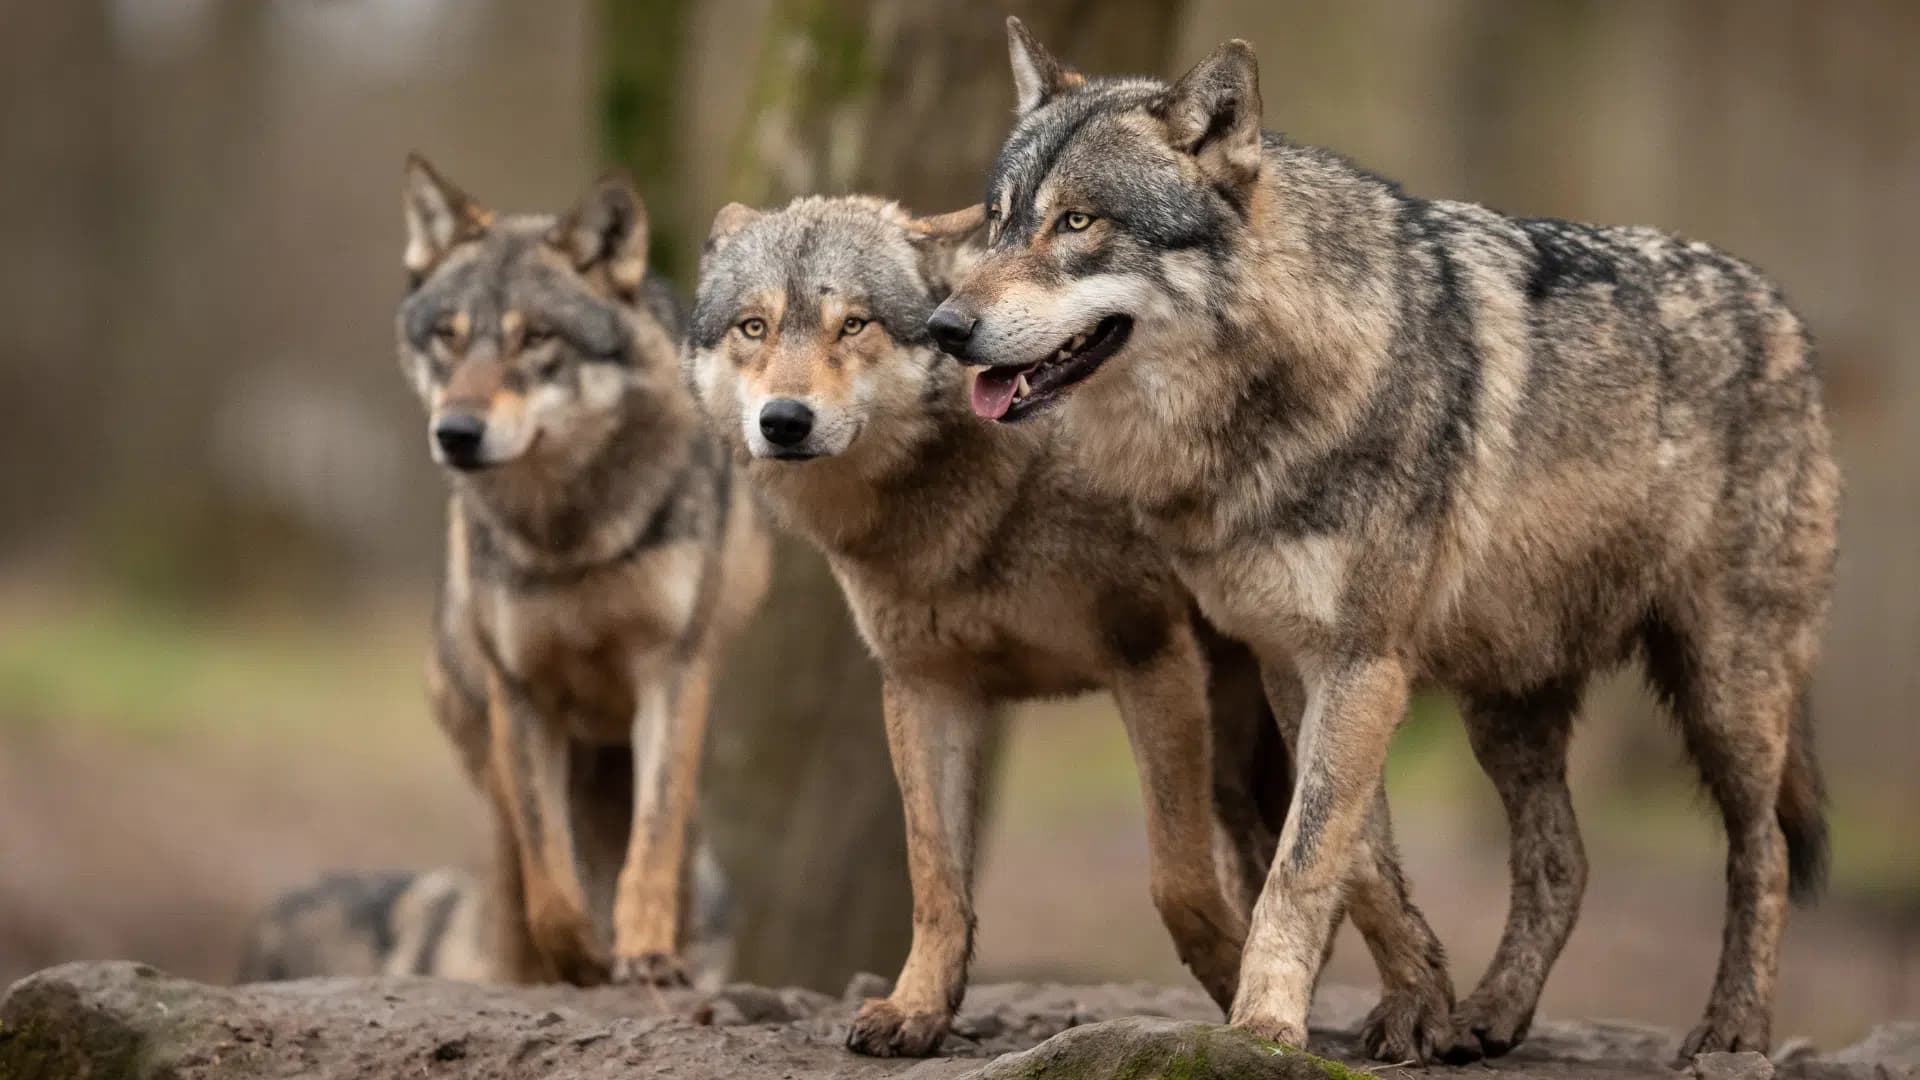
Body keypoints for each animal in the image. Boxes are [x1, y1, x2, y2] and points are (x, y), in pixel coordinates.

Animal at [397, 157, 769, 989]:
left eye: (535, 338)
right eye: (447, 337)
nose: (456, 433)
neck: (569, 536)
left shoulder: (670, 675)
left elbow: (651, 849)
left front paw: (647, 955)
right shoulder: (523, 695)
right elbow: (551, 889)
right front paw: (582, 961)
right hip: (497, 759)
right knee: (514, 885)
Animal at [684, 194, 1453, 1060]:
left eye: (853, 325)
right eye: (754, 327)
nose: (784, 421)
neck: (977, 497)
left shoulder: (1149, 659)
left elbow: (1176, 881)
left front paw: (1238, 1004)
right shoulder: (925, 688)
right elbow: (935, 878)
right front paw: (918, 1008)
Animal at [929, 19, 1839, 1063]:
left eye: (1077, 223)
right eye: (998, 220)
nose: (944, 326)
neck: (1266, 400)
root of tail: (1783, 310)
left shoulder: (1363, 663)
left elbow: (1303, 861)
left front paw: (1267, 1025)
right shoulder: (1295, 661)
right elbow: (1356, 855)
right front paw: (1419, 1003)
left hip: (1725, 691)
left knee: (1763, 852)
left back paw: (1732, 1029)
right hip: (1508, 704)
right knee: (1563, 860)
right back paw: (1490, 1014)